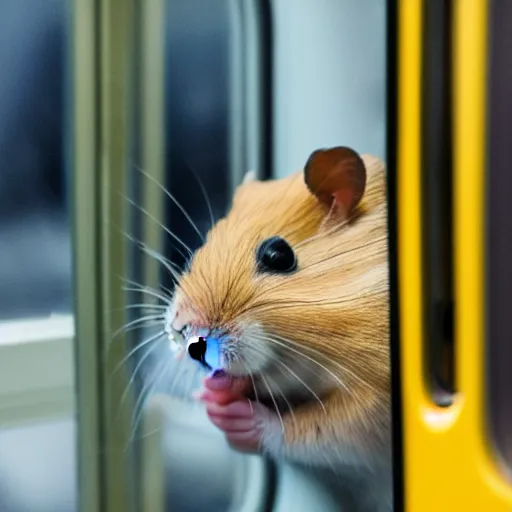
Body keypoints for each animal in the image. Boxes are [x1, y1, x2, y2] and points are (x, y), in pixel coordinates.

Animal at [166, 146, 390, 510]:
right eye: (199, 251)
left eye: (278, 255)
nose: (181, 330)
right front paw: (213, 394)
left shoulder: (376, 403)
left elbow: (321, 430)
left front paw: (234, 415)